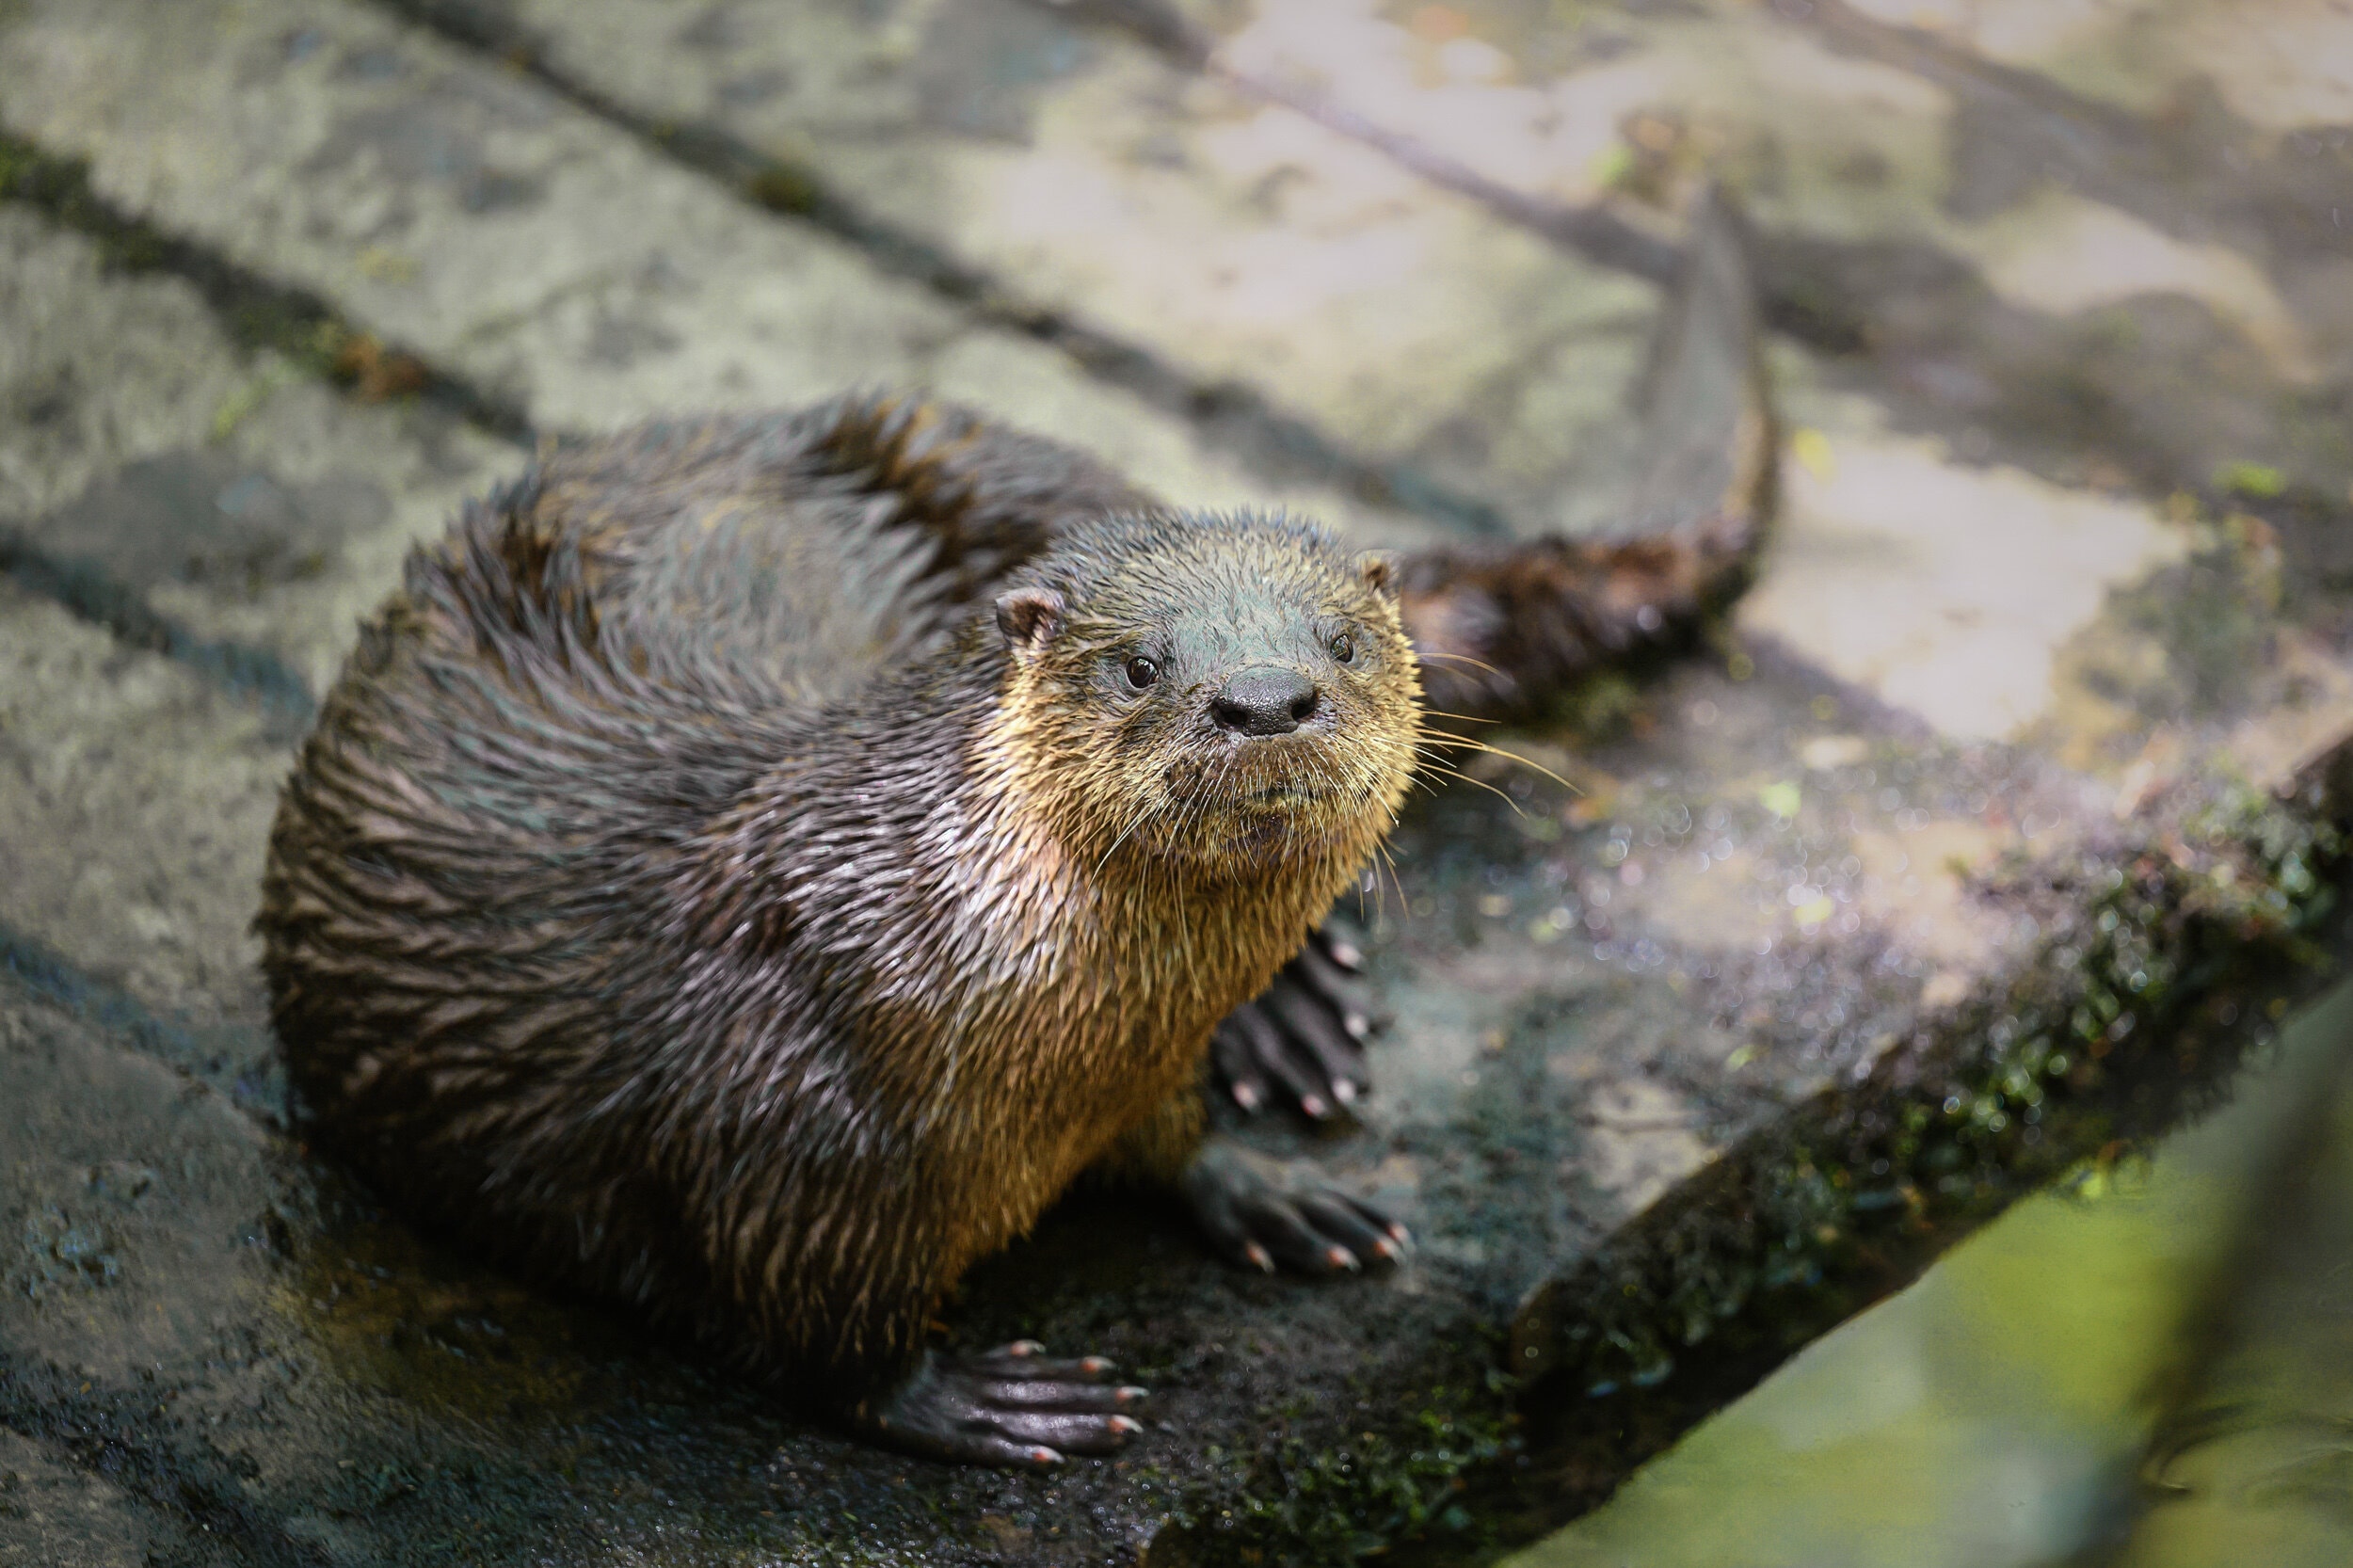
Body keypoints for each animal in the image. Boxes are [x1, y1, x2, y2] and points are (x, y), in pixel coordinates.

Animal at [266, 392, 1421, 1468]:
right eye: (1139, 665)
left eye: (1344, 642)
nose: (1265, 698)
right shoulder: (788, 1117)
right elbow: (811, 1321)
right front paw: (978, 1400)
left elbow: (1174, 1139)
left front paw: (1264, 1189)